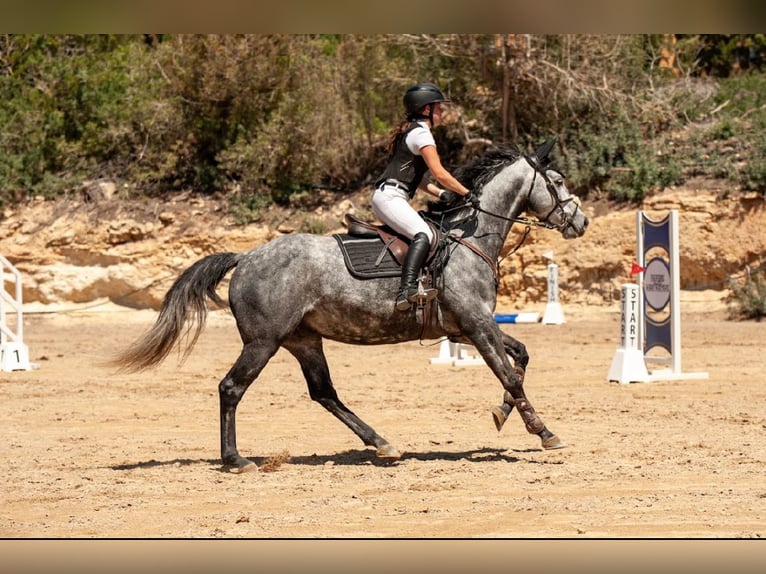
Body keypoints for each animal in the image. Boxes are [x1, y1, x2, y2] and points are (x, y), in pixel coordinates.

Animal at [111, 140, 589, 473]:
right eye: (558, 181)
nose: (580, 222)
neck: (469, 238)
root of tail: (245, 257)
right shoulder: (476, 323)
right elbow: (509, 374)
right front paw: (544, 432)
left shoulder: (466, 328)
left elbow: (520, 360)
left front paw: (502, 414)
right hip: (263, 341)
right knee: (231, 388)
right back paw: (236, 460)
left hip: (303, 340)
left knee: (324, 392)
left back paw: (383, 444)